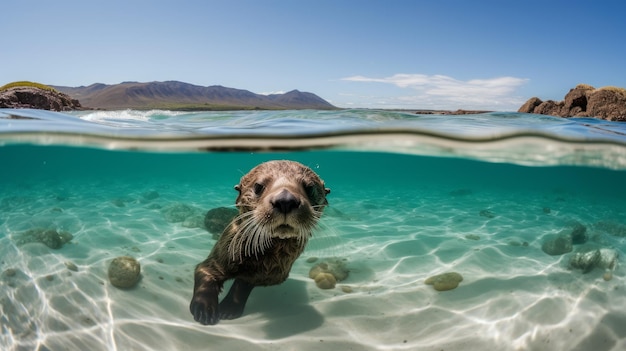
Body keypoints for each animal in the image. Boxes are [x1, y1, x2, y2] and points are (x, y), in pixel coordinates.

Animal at [188, 161, 330, 326]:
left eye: (310, 188)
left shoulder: (266, 275)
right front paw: (204, 310)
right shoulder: (221, 255)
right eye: (258, 186)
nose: (286, 200)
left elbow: (243, 284)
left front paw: (229, 309)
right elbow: (205, 272)